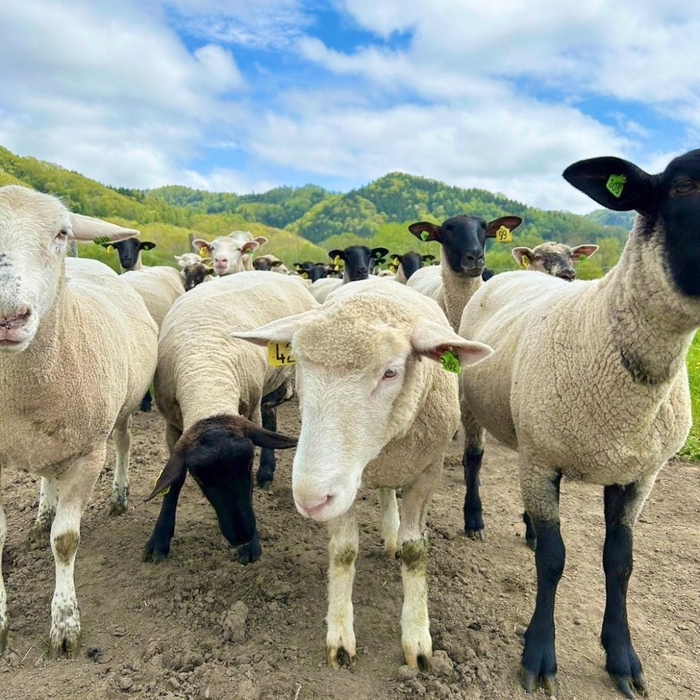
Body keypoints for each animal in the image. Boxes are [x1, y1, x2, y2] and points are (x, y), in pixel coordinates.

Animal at [0, 185, 158, 656]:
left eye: (62, 233)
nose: (7, 316)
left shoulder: (89, 454)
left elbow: (66, 541)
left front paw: (66, 623)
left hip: (121, 410)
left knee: (123, 444)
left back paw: (119, 497)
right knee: (46, 472)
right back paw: (41, 514)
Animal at [142, 270, 318, 568]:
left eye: (246, 466)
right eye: (200, 479)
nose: (242, 535)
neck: (206, 372)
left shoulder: (248, 409)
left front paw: (251, 547)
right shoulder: (173, 427)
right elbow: (173, 481)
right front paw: (159, 540)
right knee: (270, 414)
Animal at [232, 278, 490, 672]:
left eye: (391, 372)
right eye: (298, 366)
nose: (309, 499)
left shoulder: (428, 470)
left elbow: (416, 551)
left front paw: (417, 639)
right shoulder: (343, 484)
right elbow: (343, 551)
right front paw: (340, 637)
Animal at [456, 148, 700, 696]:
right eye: (682, 188)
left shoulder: (638, 475)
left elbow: (620, 562)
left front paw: (623, 659)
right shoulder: (544, 460)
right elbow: (553, 560)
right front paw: (539, 656)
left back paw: (527, 525)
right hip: (473, 404)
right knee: (474, 461)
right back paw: (475, 519)